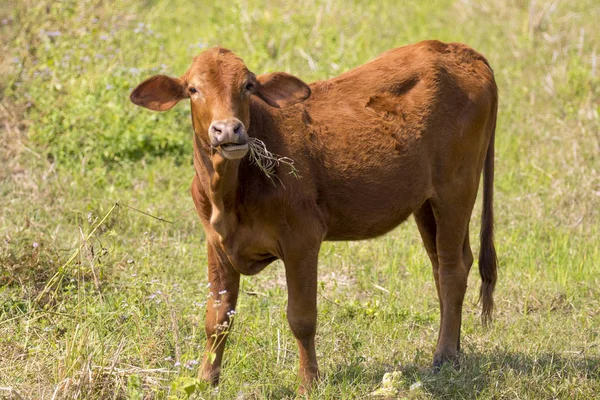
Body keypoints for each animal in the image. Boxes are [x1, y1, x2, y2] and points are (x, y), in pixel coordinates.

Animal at [131, 41, 496, 394]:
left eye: (248, 86)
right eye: (193, 89)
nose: (228, 129)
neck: (229, 195)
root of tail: (457, 49)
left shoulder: (302, 239)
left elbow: (302, 317)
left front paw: (308, 382)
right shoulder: (217, 244)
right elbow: (217, 317)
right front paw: (207, 379)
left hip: (456, 188)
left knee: (452, 270)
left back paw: (444, 357)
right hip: (426, 201)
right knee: (446, 265)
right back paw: (455, 350)